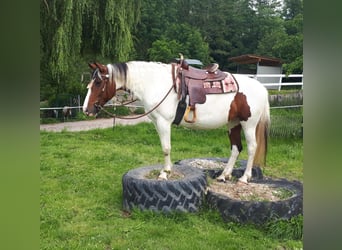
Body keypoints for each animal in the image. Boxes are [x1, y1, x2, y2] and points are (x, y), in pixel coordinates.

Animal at [82, 60, 270, 184]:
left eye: (98, 82)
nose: (86, 109)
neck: (155, 83)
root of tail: (262, 88)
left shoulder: (164, 122)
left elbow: (166, 148)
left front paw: (164, 173)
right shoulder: (157, 122)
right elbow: (164, 147)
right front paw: (167, 170)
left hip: (248, 124)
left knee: (252, 148)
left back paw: (244, 178)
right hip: (233, 123)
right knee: (236, 148)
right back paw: (224, 175)